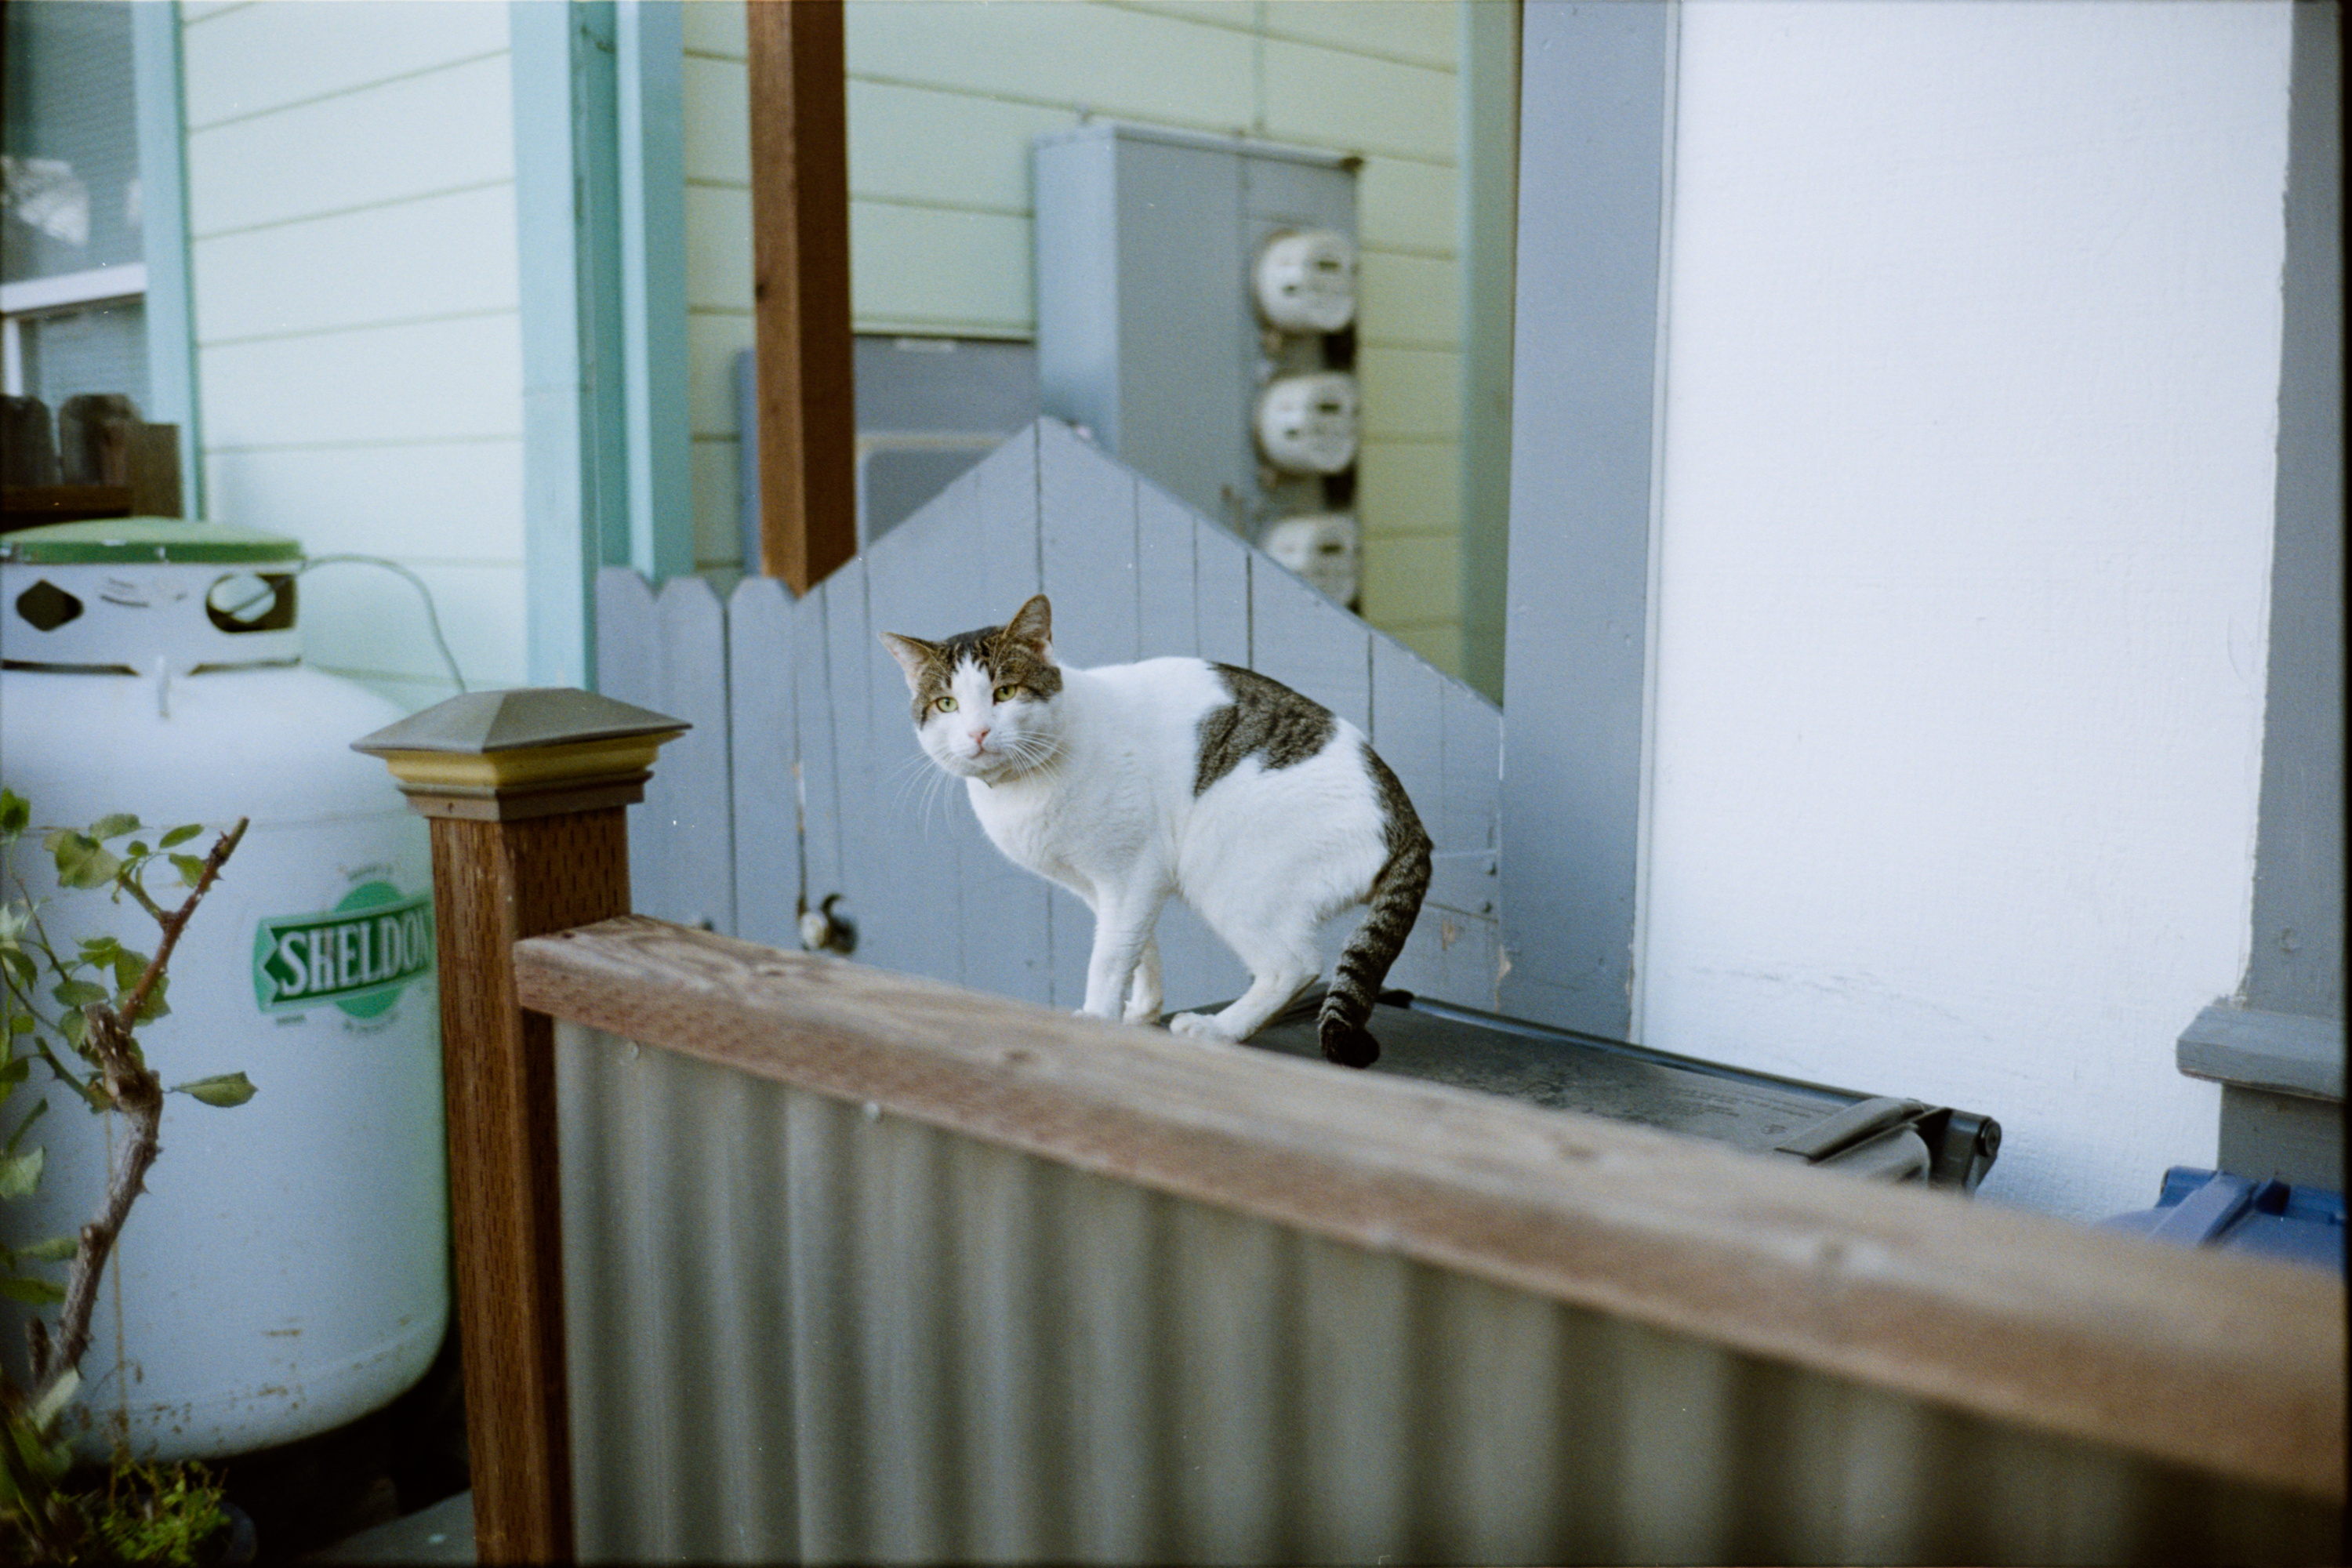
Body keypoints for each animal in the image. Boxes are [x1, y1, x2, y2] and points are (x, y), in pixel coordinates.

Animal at [881, 594, 1430, 1067]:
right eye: (948, 705)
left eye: (1005, 693)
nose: (977, 732)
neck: (1024, 787)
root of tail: (1410, 825)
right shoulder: (1107, 888)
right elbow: (1138, 947)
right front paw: (1140, 1013)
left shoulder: (1132, 872)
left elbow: (1108, 958)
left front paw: (1096, 1020)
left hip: (1226, 874)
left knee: (1294, 965)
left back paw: (1217, 1030)